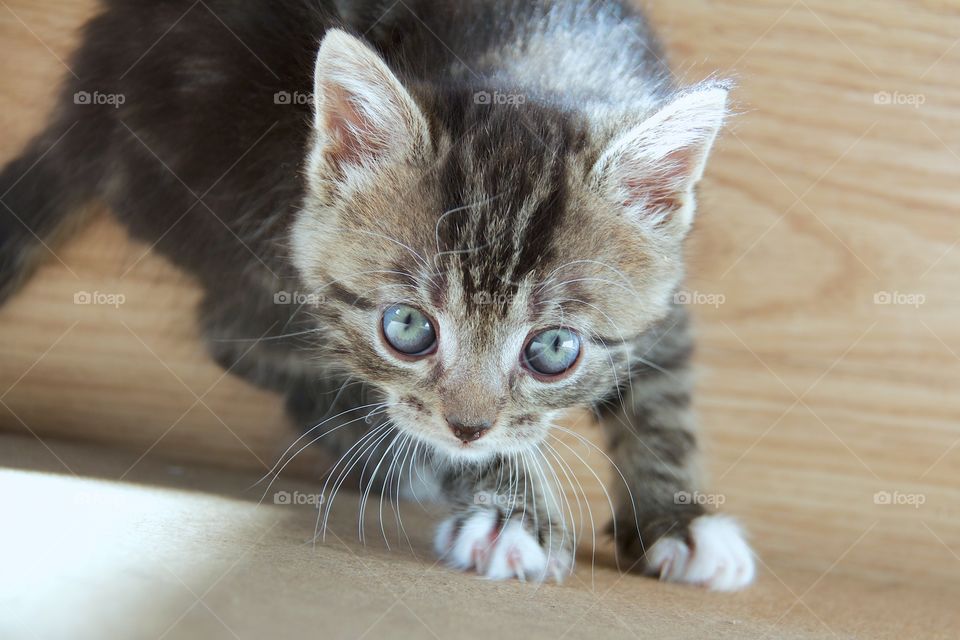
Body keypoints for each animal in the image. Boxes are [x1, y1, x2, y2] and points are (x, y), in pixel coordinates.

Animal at [1, 0, 756, 592]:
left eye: (553, 348)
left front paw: (682, 521)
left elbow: (663, 395)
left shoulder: (666, 286)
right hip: (260, 218)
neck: (536, 66)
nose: (468, 428)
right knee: (234, 335)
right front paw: (512, 514)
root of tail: (88, 102)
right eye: (408, 329)